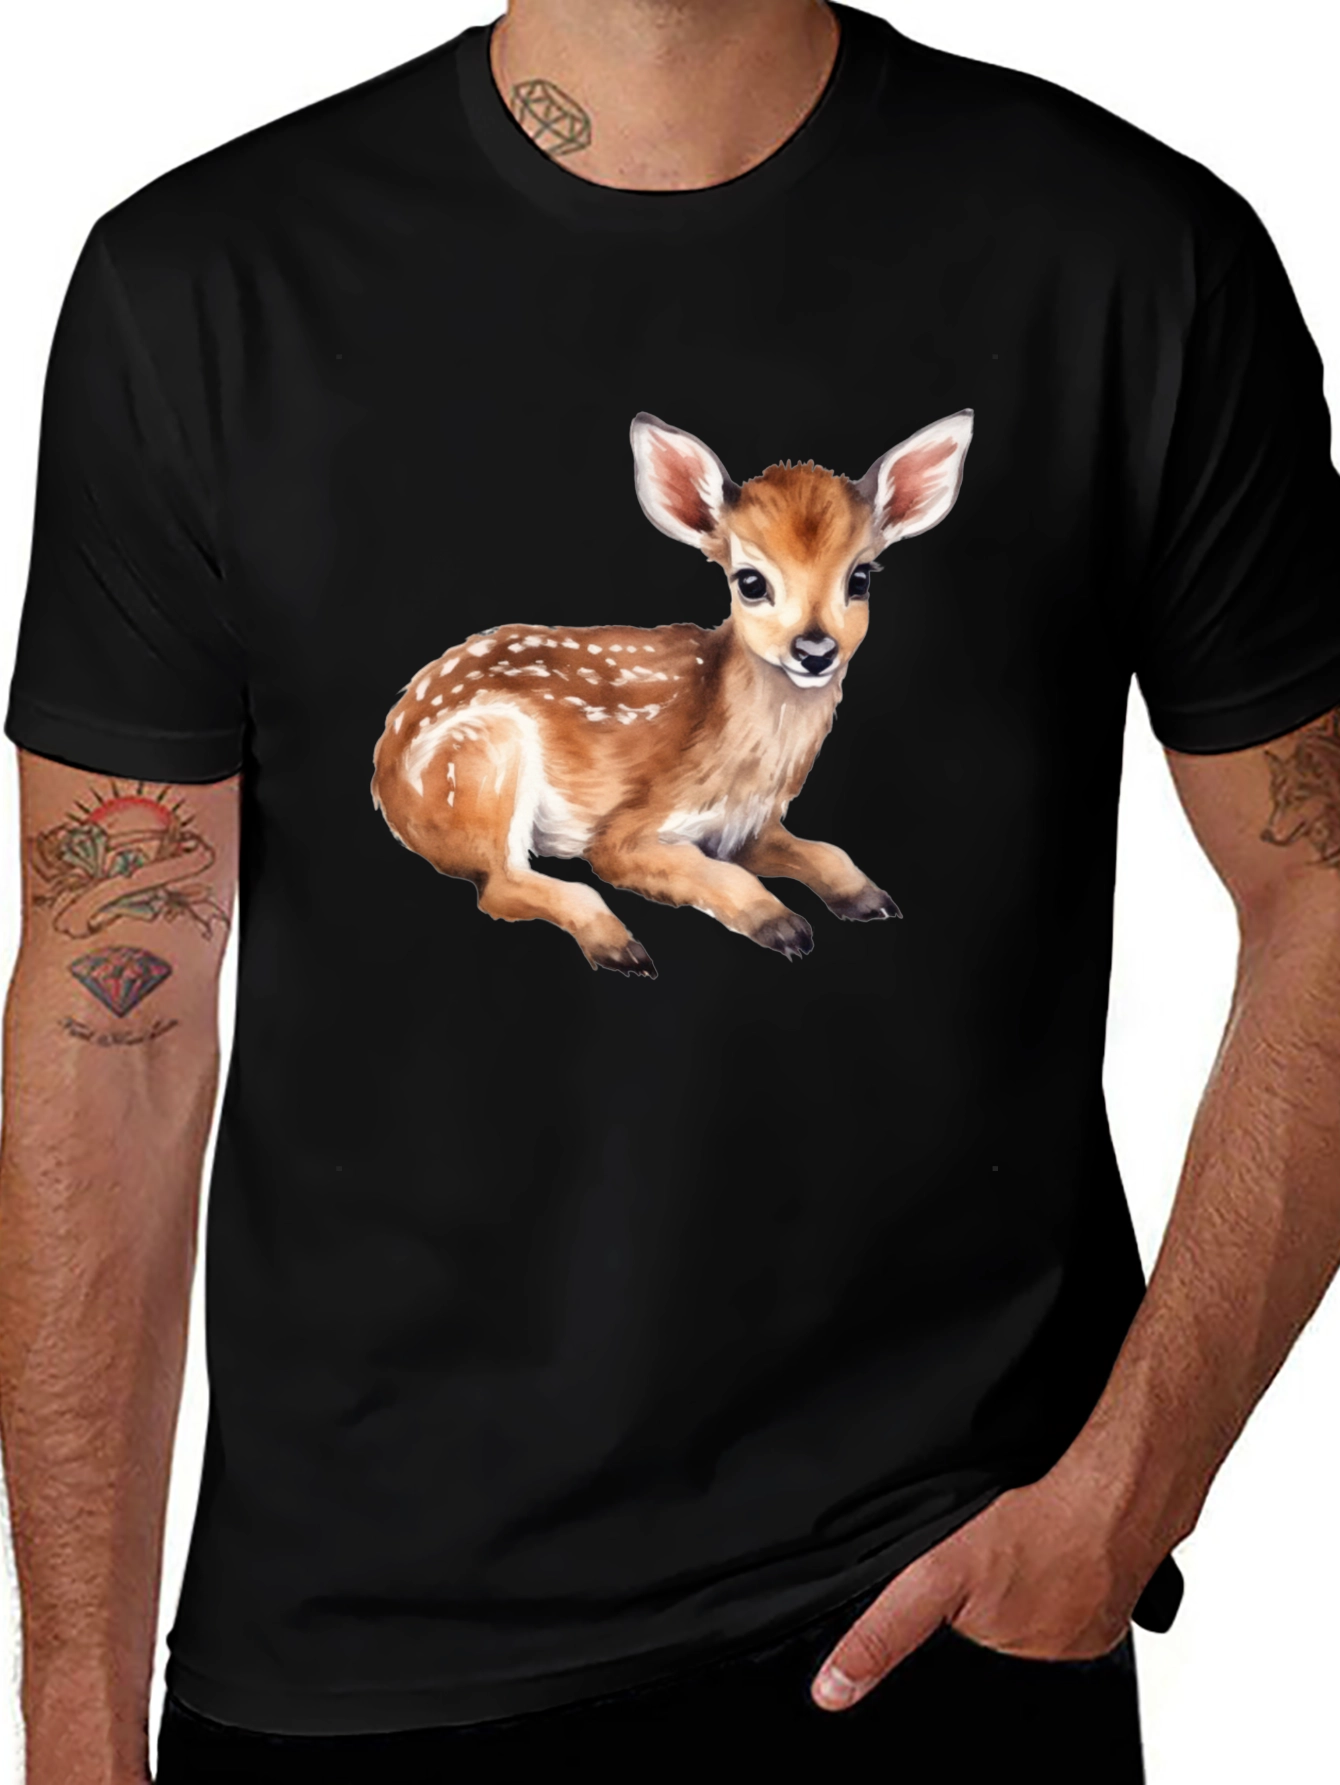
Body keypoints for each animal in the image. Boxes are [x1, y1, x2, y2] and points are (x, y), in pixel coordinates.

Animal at [371, 410, 972, 976]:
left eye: (861, 578)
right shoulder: (627, 831)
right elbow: (689, 868)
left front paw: (871, 899)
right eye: (750, 581)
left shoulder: (749, 828)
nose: (815, 650)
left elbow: (828, 851)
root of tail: (385, 785)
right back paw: (620, 948)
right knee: (499, 885)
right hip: (483, 757)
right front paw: (782, 926)